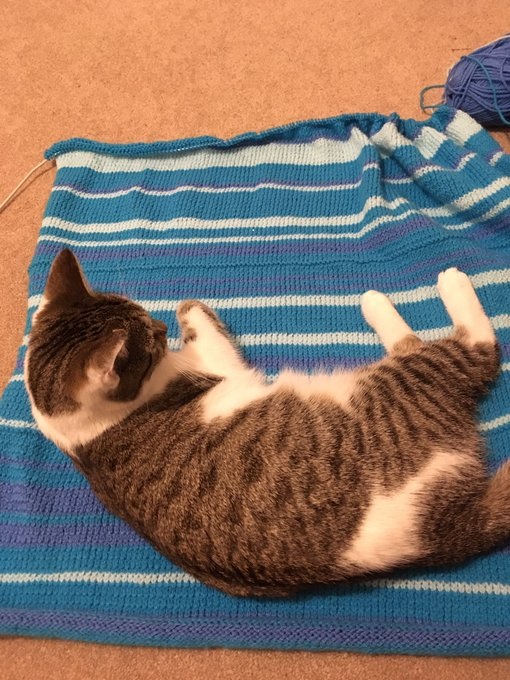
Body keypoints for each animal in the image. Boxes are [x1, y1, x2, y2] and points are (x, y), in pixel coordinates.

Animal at [24, 250, 510, 596]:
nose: (160, 325)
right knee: (474, 349)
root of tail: (443, 531)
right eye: (152, 340)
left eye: (150, 323)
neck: (79, 426)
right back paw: (434, 284)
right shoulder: (218, 368)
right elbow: (202, 323)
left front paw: (184, 308)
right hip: (405, 382)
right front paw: (190, 308)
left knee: (420, 345)